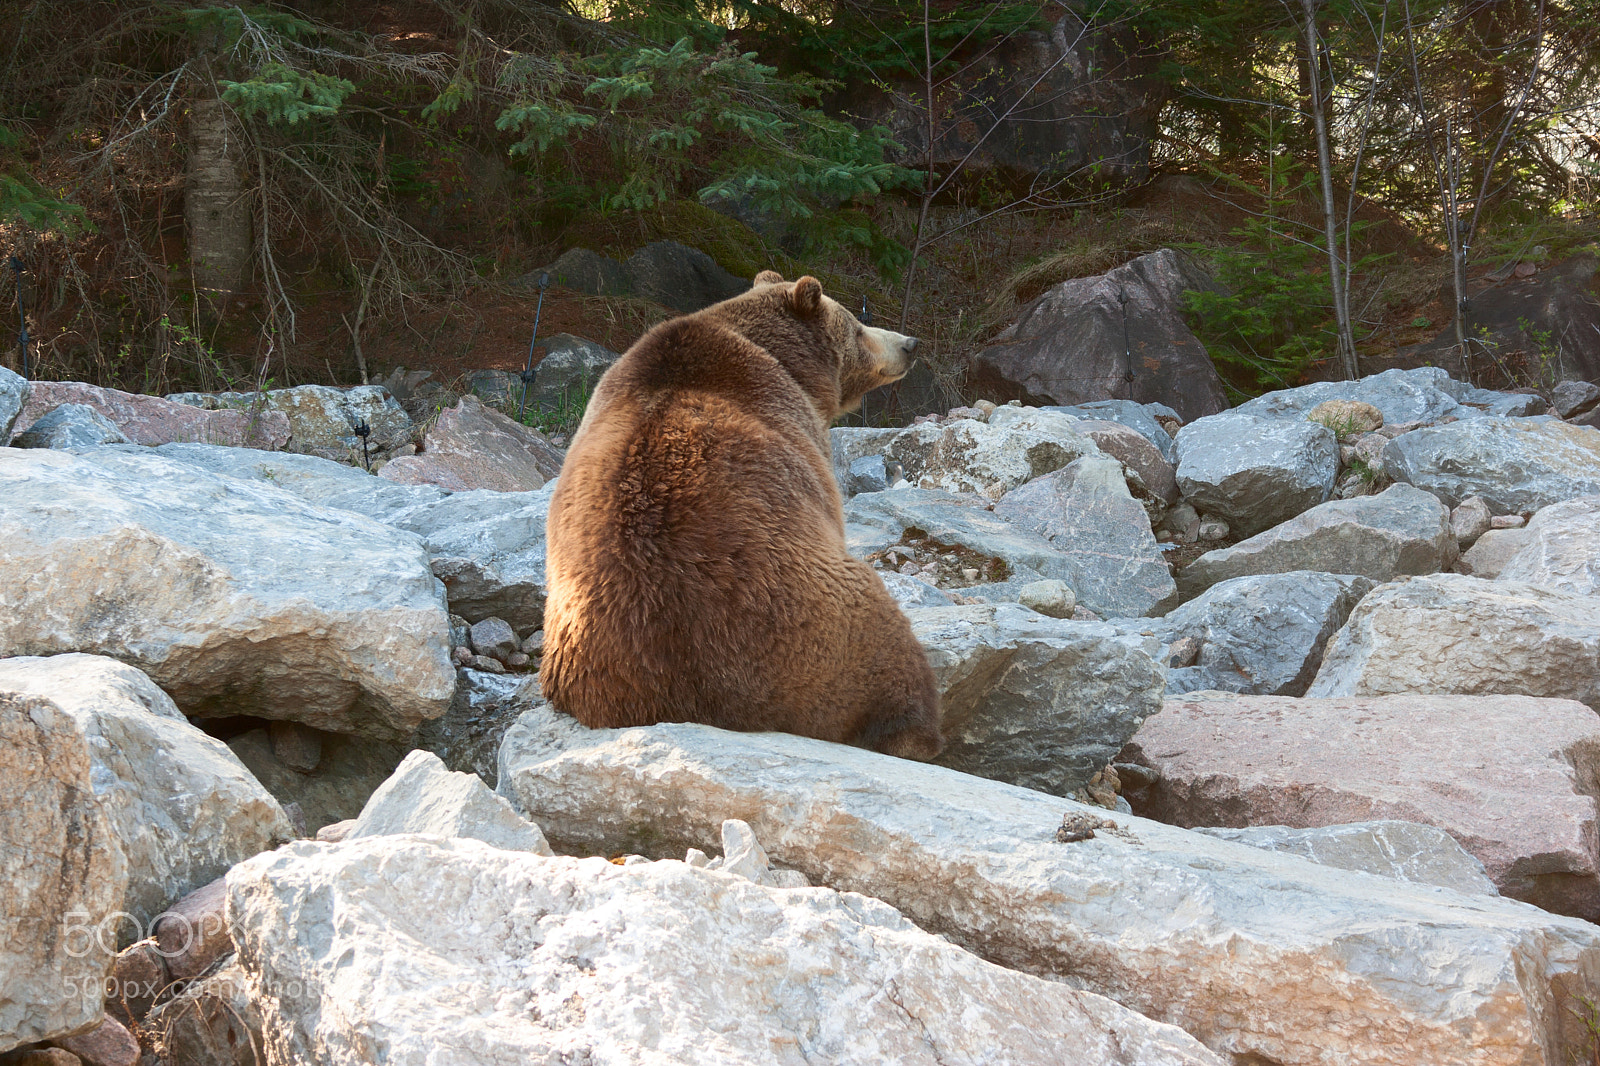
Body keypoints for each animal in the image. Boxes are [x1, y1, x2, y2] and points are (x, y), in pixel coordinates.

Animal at [540, 270, 943, 760]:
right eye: (858, 328)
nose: (910, 343)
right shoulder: (800, 434)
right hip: (818, 629)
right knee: (889, 659)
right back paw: (919, 731)